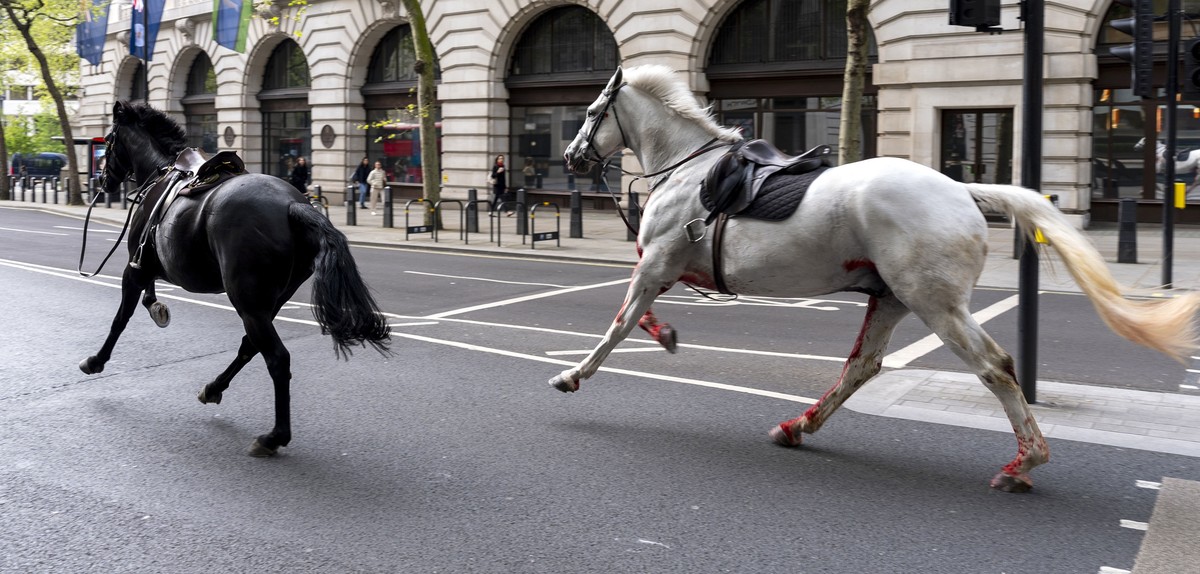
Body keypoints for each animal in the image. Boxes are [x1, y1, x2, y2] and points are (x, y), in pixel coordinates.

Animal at [81, 101, 391, 456]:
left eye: (109, 140)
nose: (102, 179)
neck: (161, 172)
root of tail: (293, 205)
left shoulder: (135, 268)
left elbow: (120, 319)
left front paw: (96, 360)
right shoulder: (148, 266)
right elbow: (147, 297)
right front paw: (156, 308)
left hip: (247, 301)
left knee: (276, 358)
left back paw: (273, 436)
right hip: (268, 301)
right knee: (250, 346)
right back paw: (214, 388)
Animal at [556, 65, 1200, 492]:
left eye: (590, 112)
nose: (570, 156)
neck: (688, 170)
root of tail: (964, 191)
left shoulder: (655, 263)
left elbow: (618, 325)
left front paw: (573, 375)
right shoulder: (664, 268)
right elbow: (639, 317)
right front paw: (664, 335)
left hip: (935, 302)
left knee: (994, 367)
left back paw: (1024, 463)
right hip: (893, 298)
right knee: (863, 366)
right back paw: (799, 425)